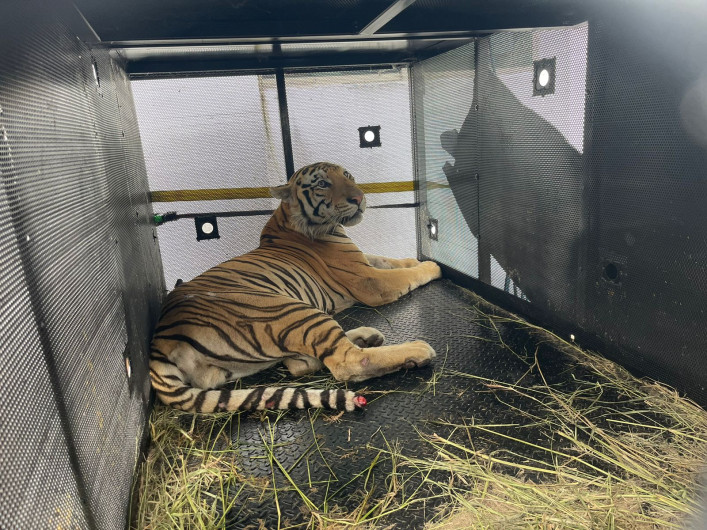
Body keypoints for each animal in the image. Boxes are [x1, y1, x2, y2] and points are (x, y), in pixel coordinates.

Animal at [149, 162, 442, 413]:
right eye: (322, 183)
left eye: (347, 175)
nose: (359, 198)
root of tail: (158, 345)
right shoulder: (369, 281)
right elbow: (404, 274)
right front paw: (433, 266)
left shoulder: (364, 263)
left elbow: (389, 260)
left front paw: (413, 259)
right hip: (288, 309)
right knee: (345, 362)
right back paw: (416, 351)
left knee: (301, 362)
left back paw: (367, 336)